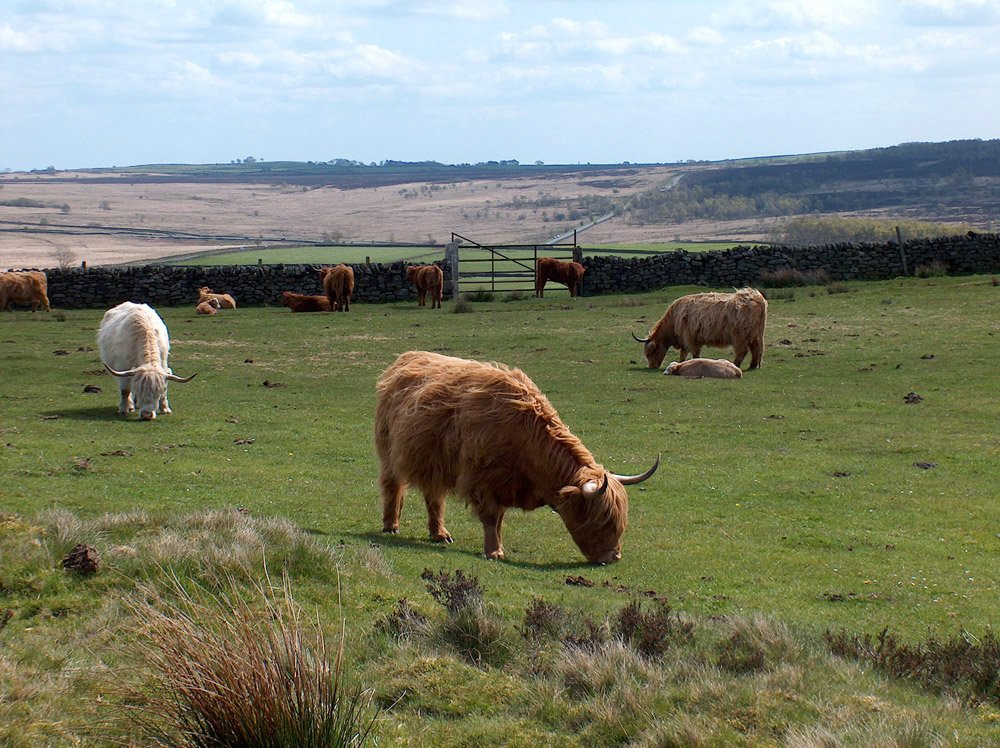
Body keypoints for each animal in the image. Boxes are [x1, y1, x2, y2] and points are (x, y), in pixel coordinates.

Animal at [374, 350, 656, 560]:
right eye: (601, 520)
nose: (613, 557)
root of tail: (406, 358)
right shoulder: (483, 481)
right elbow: (491, 518)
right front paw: (494, 552)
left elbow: (498, 520)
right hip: (388, 453)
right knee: (393, 486)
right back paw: (391, 525)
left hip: (435, 462)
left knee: (434, 495)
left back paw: (440, 533)